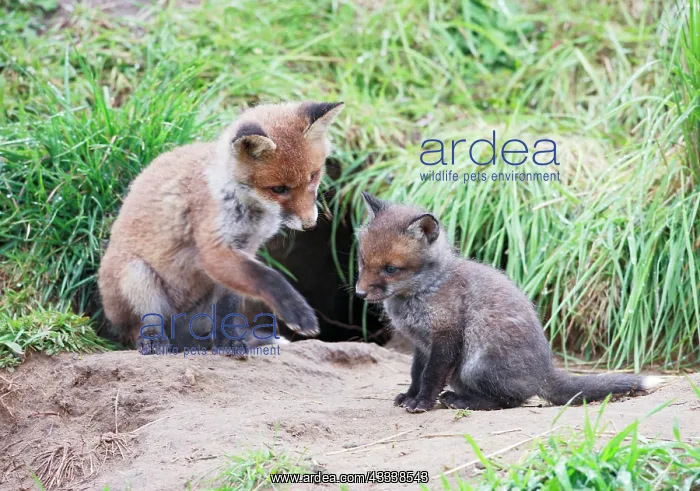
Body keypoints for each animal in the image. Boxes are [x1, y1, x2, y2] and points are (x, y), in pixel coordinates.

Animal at [98, 101, 344, 352]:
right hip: (137, 276)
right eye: (279, 189)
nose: (309, 224)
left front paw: (229, 340)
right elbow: (268, 277)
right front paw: (296, 310)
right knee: (139, 326)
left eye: (313, 176)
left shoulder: (245, 249)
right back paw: (153, 339)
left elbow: (229, 307)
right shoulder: (214, 250)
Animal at [355, 193, 662, 413]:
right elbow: (416, 374)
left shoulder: (445, 338)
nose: (359, 294)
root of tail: (544, 371)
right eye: (362, 261)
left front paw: (422, 402)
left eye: (390, 269)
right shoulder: (421, 344)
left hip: (476, 364)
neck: (426, 289)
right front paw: (409, 396)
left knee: (514, 399)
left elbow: (431, 376)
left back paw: (461, 401)